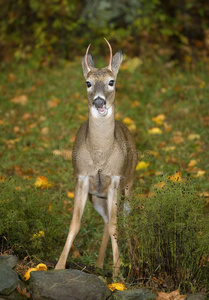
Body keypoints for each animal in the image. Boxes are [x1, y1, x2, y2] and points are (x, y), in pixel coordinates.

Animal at [55, 38, 137, 278]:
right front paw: (59, 266)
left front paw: (118, 275)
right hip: (97, 198)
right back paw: (100, 265)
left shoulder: (115, 179)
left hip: (129, 185)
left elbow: (117, 227)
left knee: (124, 220)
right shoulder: (82, 177)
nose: (99, 102)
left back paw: (133, 263)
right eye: (88, 83)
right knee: (107, 221)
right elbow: (75, 223)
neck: (100, 154)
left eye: (111, 81)